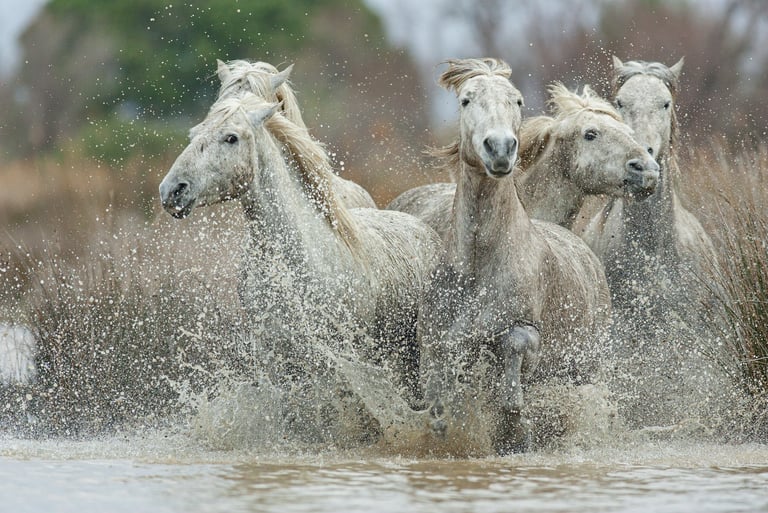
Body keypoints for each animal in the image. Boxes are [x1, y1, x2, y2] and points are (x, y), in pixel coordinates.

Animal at [159, 91, 441, 442]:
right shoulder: (273, 355)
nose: (172, 191)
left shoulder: (338, 357)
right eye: (194, 133)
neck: (297, 262)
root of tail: (424, 229)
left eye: (231, 137)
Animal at [417, 59, 611, 454]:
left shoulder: (526, 331)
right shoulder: (434, 337)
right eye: (465, 100)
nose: (501, 148)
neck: (479, 264)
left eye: (517, 101)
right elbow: (438, 393)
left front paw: (515, 424)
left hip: (588, 365)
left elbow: (514, 348)